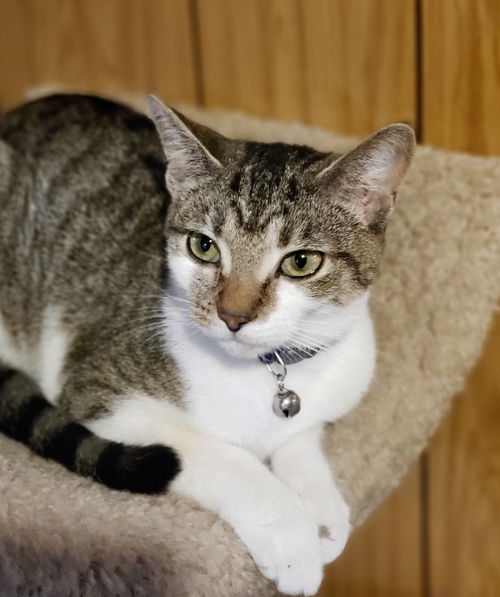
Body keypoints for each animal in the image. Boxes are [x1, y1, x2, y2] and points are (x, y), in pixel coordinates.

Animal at [0, 95, 414, 592]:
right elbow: (227, 459)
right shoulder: (101, 394)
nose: (233, 315)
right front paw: (293, 538)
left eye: (301, 262)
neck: (264, 368)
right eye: (204, 246)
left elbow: (300, 435)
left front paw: (320, 506)